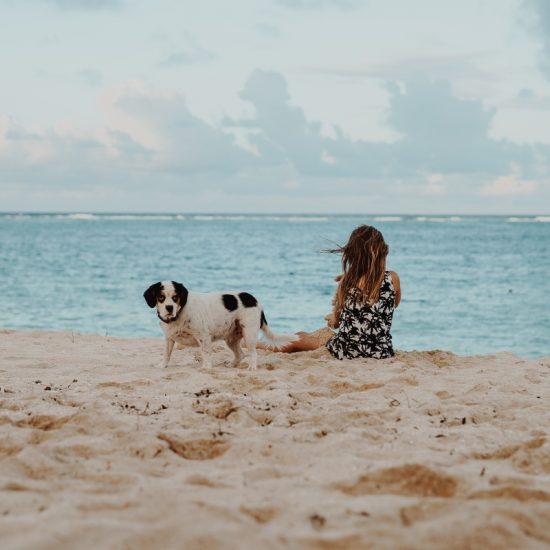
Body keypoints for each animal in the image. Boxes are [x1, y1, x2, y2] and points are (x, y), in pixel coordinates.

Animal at [143, 282, 298, 374]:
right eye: (161, 297)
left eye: (175, 297)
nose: (169, 308)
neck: (179, 314)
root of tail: (255, 301)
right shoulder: (169, 339)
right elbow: (166, 354)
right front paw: (162, 365)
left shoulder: (204, 336)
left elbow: (206, 353)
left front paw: (206, 368)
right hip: (231, 339)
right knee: (240, 354)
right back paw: (231, 365)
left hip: (249, 335)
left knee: (253, 354)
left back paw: (252, 368)